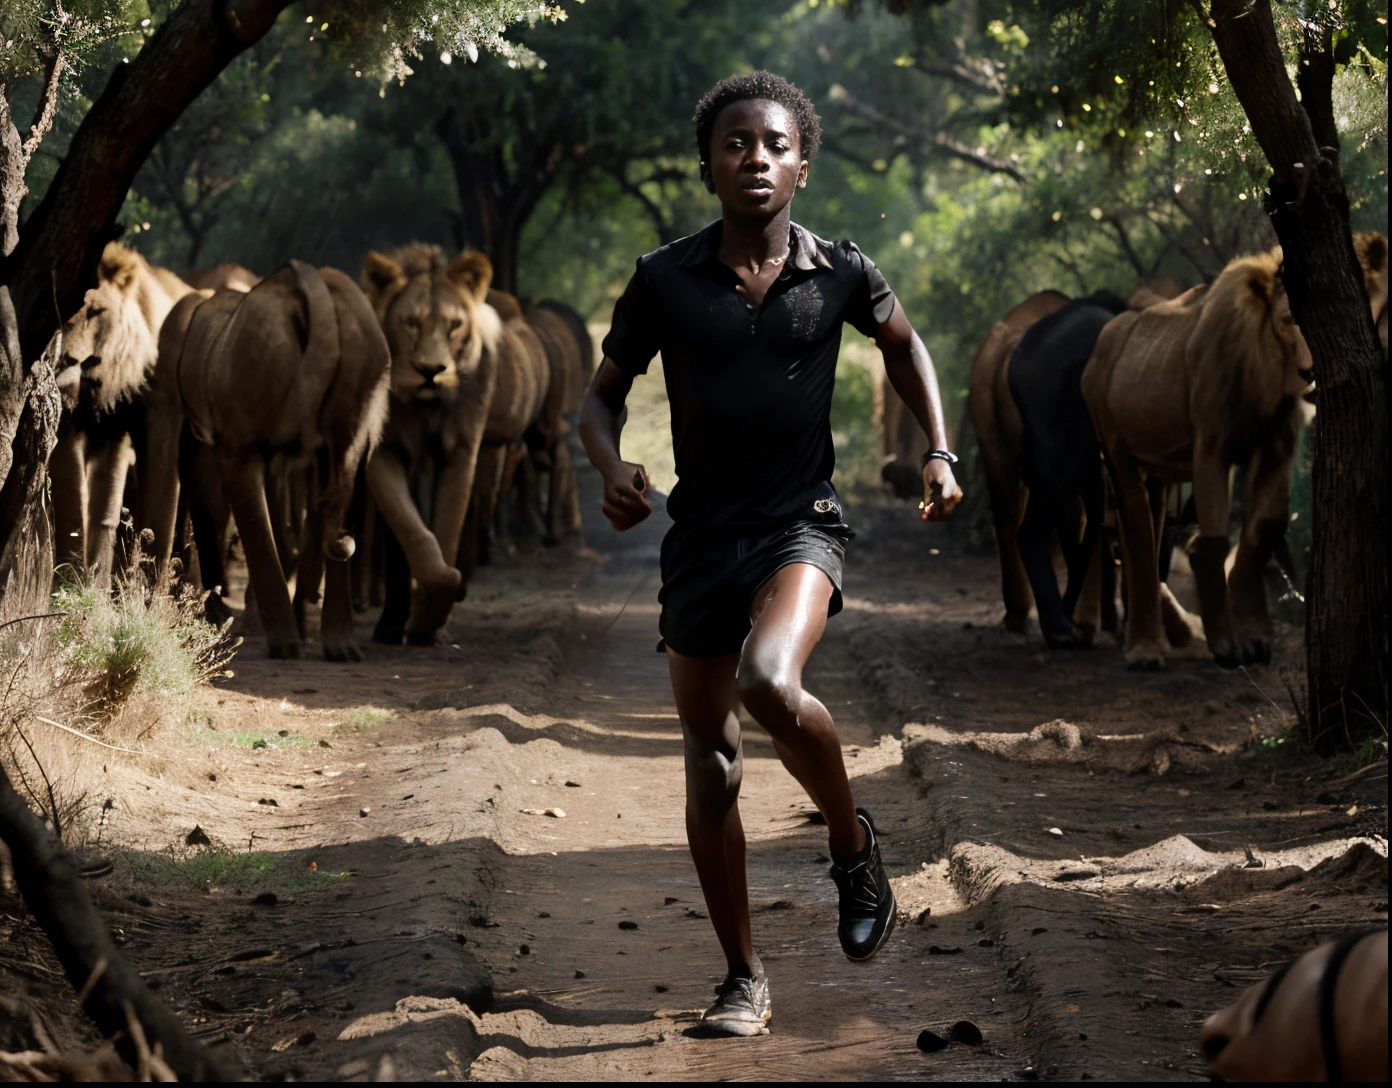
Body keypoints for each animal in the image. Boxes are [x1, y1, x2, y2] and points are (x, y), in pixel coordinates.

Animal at [54, 242, 197, 584]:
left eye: (96, 311)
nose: (66, 361)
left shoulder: (162, 418)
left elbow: (157, 515)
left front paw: (146, 588)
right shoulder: (94, 427)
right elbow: (80, 510)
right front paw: (76, 581)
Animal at [1074, 250, 1314, 667]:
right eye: (1287, 319)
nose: (1310, 371)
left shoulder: (1276, 447)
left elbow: (1265, 527)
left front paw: (1255, 636)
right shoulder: (1210, 448)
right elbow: (1213, 541)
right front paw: (1227, 645)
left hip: (1157, 469)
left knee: (1151, 529)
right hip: (1115, 448)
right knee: (1137, 529)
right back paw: (1144, 651)